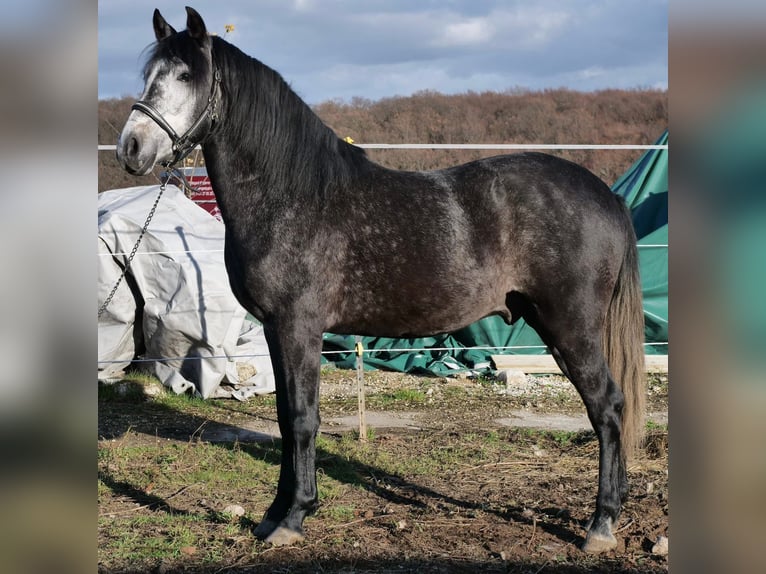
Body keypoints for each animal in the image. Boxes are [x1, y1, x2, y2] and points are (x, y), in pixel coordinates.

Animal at [116, 7, 646, 553]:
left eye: (185, 75)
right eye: (149, 75)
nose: (131, 147)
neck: (292, 197)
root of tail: (604, 195)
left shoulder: (298, 327)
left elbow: (302, 419)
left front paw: (293, 517)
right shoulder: (277, 331)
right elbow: (285, 416)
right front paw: (273, 514)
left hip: (571, 327)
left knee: (608, 407)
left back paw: (601, 524)